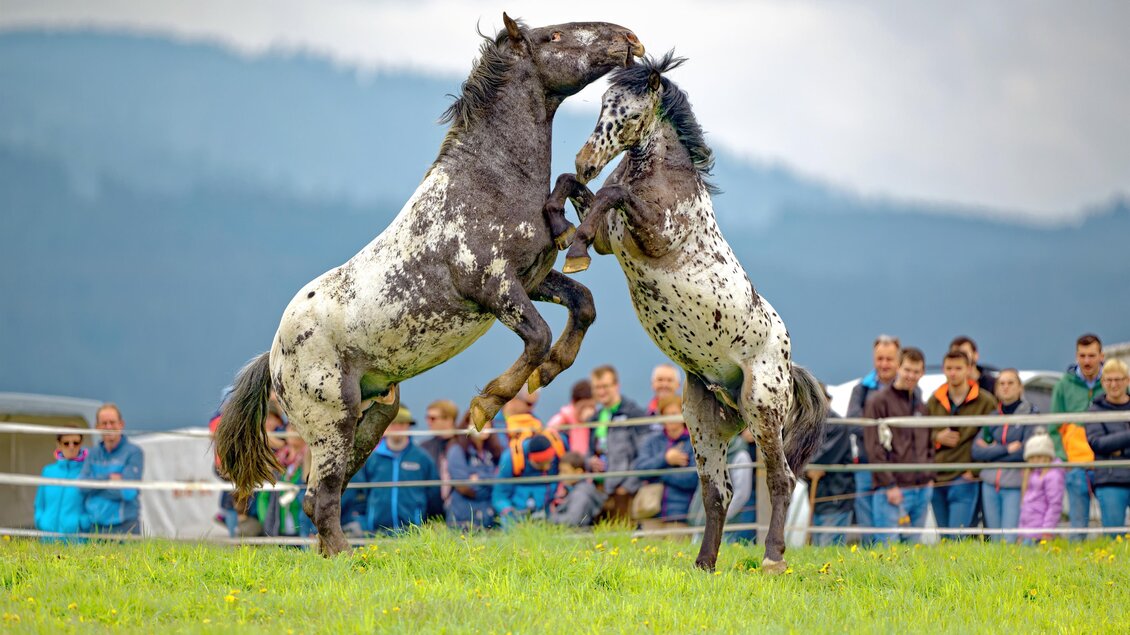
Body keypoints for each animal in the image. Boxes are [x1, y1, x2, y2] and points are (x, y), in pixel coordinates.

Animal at [216, 14, 644, 556]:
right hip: (331, 420)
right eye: (552, 37)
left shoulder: (532, 278)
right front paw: (489, 403)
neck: (487, 183)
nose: (628, 38)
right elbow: (537, 336)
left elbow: (582, 302)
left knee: (320, 496)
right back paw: (344, 558)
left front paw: (550, 369)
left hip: (375, 415)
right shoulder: (493, 286)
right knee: (323, 496)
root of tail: (273, 357)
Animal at [543, 52, 827, 573]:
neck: (661, 176)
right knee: (719, 493)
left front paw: (572, 248)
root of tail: (787, 361)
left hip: (763, 411)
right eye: (602, 102)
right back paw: (704, 565)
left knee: (781, 480)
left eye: (630, 112)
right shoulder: (611, 238)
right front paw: (559, 227)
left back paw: (772, 558)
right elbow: (573, 189)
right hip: (703, 420)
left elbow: (611, 197)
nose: (587, 160)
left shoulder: (654, 234)